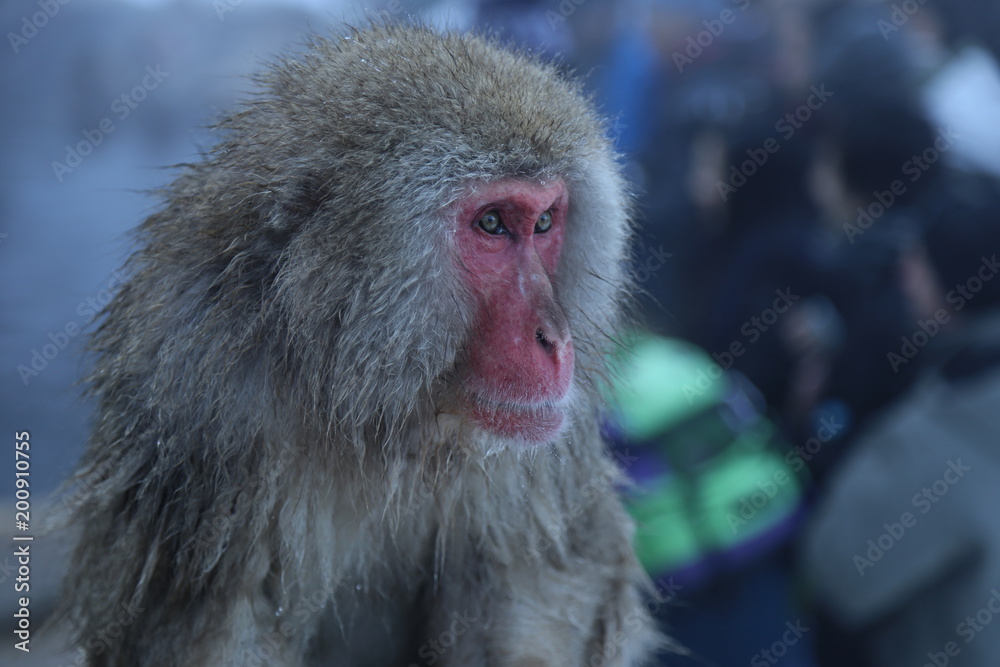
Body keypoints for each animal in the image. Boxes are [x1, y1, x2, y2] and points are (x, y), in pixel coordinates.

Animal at [58, 23, 664, 667]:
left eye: (544, 223)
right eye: (493, 223)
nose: (555, 337)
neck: (358, 393)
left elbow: (545, 579)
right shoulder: (196, 397)